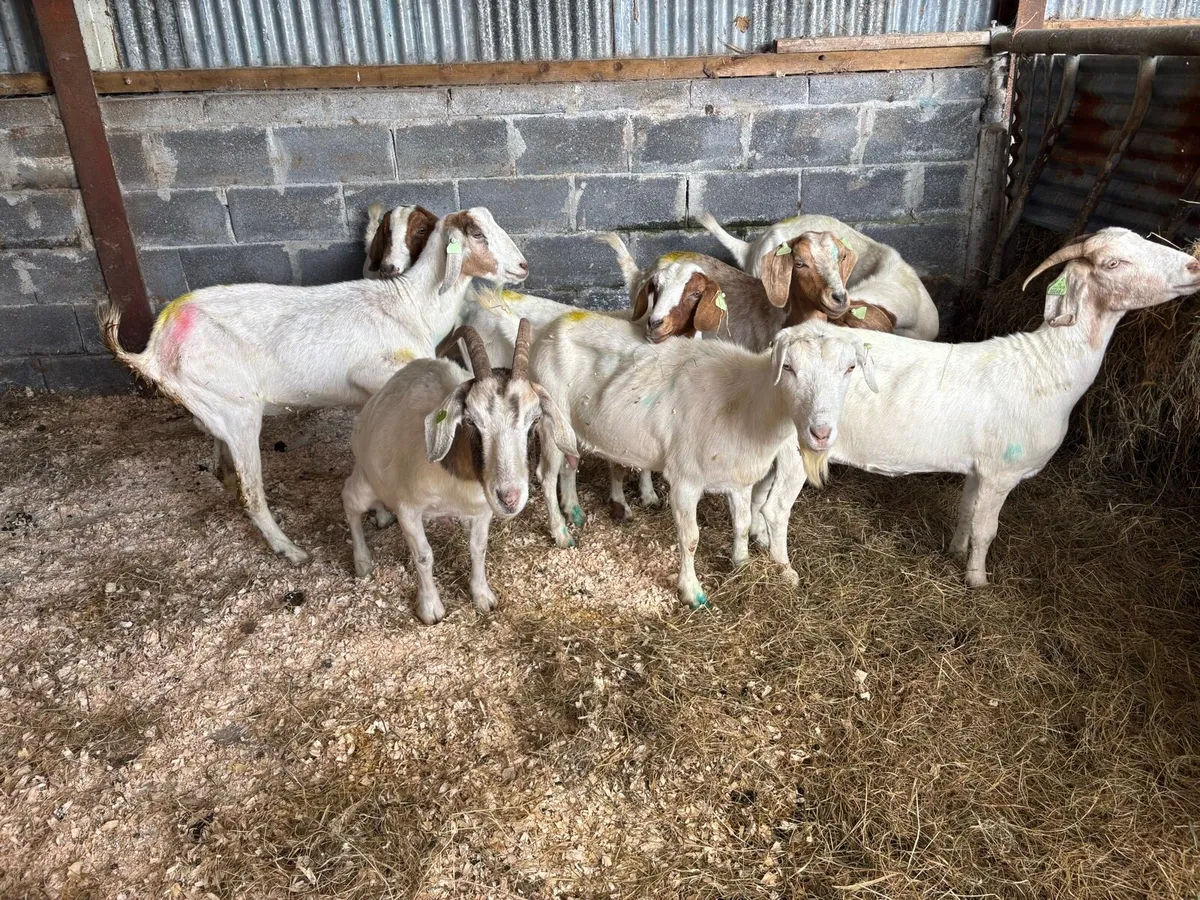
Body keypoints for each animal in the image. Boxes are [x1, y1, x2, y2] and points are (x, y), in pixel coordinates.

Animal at [100, 207, 528, 566]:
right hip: (238, 412)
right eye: (477, 233)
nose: (523, 265)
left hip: (216, 408)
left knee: (225, 470)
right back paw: (290, 551)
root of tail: (155, 349)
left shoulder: (368, 399)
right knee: (251, 495)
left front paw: (380, 512)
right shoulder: (378, 374)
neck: (411, 306)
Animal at [343, 320, 577, 624]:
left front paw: (483, 596)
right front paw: (430, 609)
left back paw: (382, 517)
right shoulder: (408, 509)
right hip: (365, 481)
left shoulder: (482, 510)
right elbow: (423, 556)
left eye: (535, 419)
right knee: (350, 500)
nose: (510, 498)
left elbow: (478, 548)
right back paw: (362, 562)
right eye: (471, 421)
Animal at [531, 314, 877, 607]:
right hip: (549, 417)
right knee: (546, 477)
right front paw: (692, 592)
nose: (821, 433)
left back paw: (574, 511)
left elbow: (742, 524)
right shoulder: (685, 481)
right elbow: (691, 539)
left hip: (571, 427)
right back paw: (561, 533)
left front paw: (741, 563)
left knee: (570, 465)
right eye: (789, 367)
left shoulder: (740, 481)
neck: (746, 404)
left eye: (850, 368)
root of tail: (550, 328)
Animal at [819, 228, 1200, 587]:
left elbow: (966, 513)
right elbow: (986, 530)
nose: (1194, 265)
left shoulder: (978, 469)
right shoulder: (1001, 472)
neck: (1048, 365)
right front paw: (977, 581)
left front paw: (954, 551)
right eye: (1113, 263)